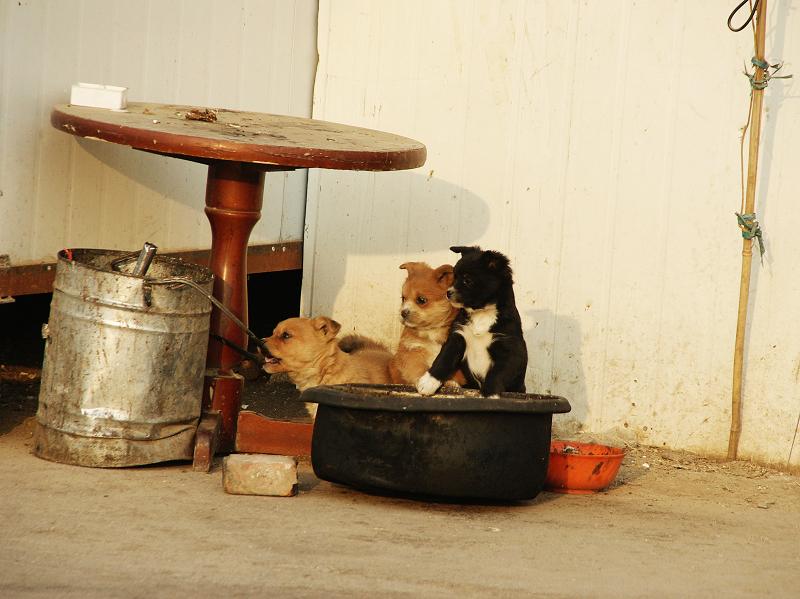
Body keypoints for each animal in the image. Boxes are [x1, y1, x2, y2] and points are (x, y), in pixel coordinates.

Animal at [416, 246, 528, 400]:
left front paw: (490, 395)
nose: (448, 293)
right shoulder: (457, 337)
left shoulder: (511, 350)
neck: (482, 313)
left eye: (467, 280)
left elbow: (496, 374)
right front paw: (428, 382)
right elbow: (443, 360)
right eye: (454, 277)